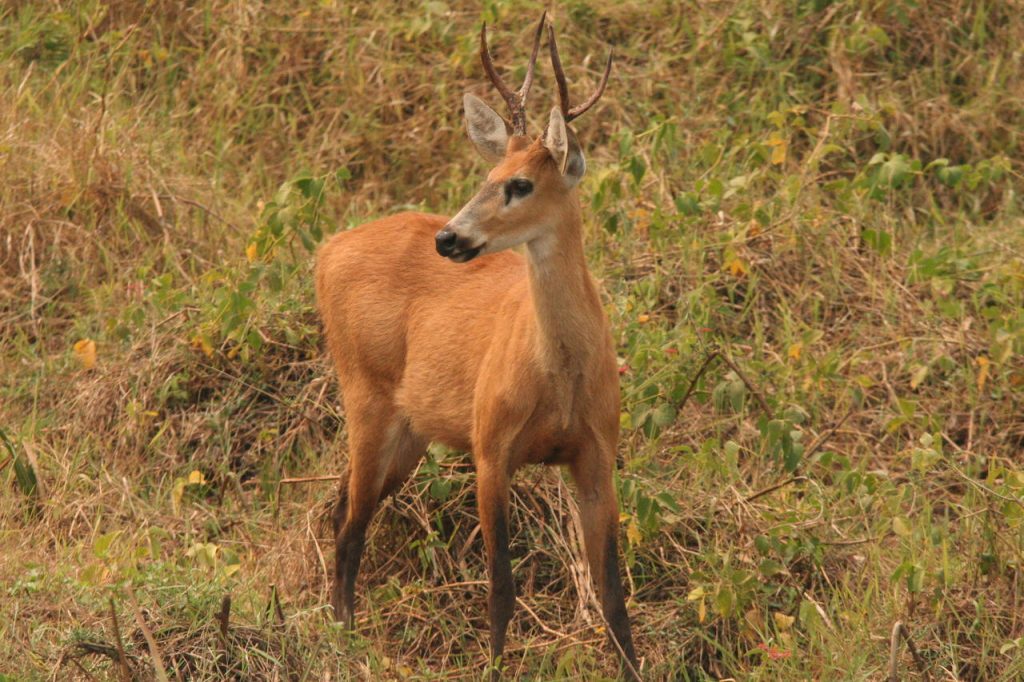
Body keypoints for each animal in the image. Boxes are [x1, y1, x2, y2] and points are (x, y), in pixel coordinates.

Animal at [311, 13, 634, 675]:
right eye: (485, 177)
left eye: (520, 183)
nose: (450, 238)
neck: (561, 375)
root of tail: (326, 251)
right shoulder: (491, 446)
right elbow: (500, 586)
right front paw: (493, 666)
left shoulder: (597, 457)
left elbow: (613, 596)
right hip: (365, 396)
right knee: (351, 523)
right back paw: (344, 637)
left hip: (409, 432)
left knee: (341, 510)